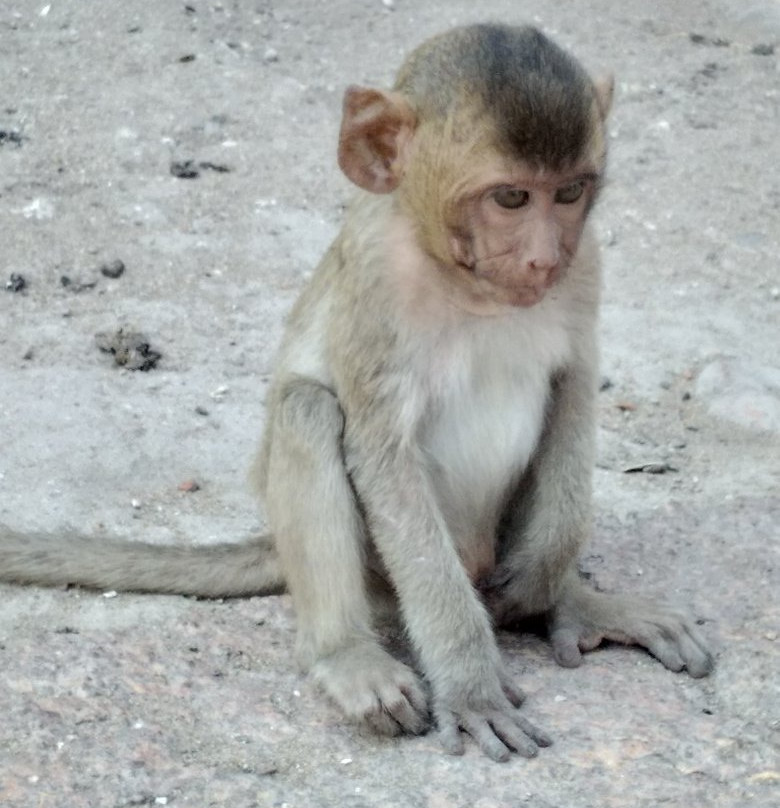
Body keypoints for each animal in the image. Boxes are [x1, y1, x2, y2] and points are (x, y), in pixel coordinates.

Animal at [0, 22, 712, 760]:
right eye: (511, 198)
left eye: (569, 192)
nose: (544, 258)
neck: (463, 283)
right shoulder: (378, 288)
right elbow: (384, 459)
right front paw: (469, 682)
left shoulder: (586, 263)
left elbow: (572, 389)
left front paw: (547, 581)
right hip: (377, 575)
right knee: (308, 410)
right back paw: (345, 653)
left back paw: (572, 601)